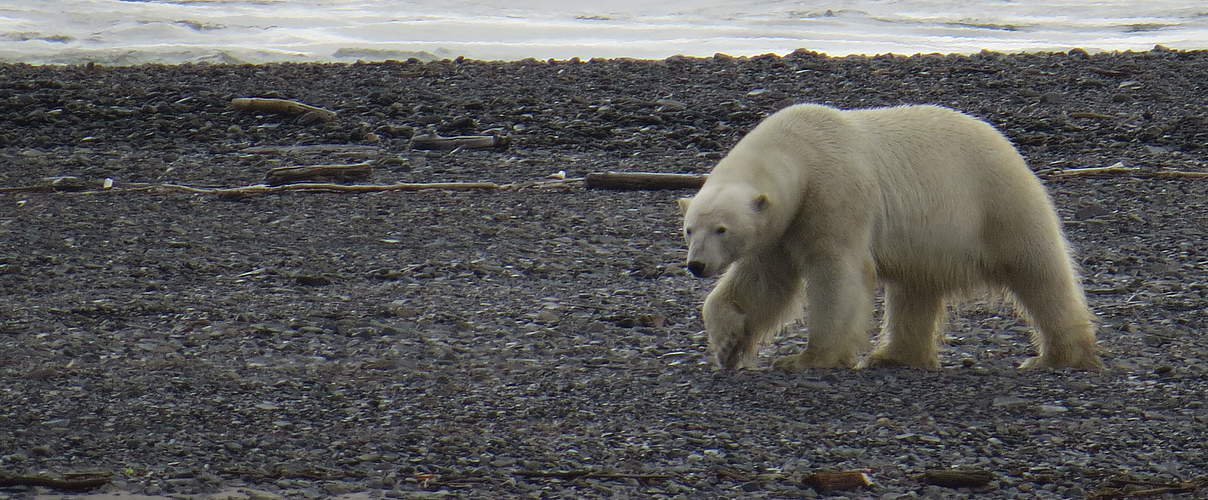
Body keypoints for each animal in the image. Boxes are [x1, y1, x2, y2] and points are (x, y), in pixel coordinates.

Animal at [681, 103, 1106, 371]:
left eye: (722, 229)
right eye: (689, 228)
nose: (696, 265)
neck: (798, 150)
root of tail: (1008, 145)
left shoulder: (834, 194)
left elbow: (837, 274)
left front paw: (807, 358)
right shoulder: (782, 227)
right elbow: (763, 282)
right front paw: (727, 344)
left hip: (997, 203)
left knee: (1039, 273)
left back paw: (1059, 356)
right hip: (930, 239)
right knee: (914, 289)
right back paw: (896, 355)